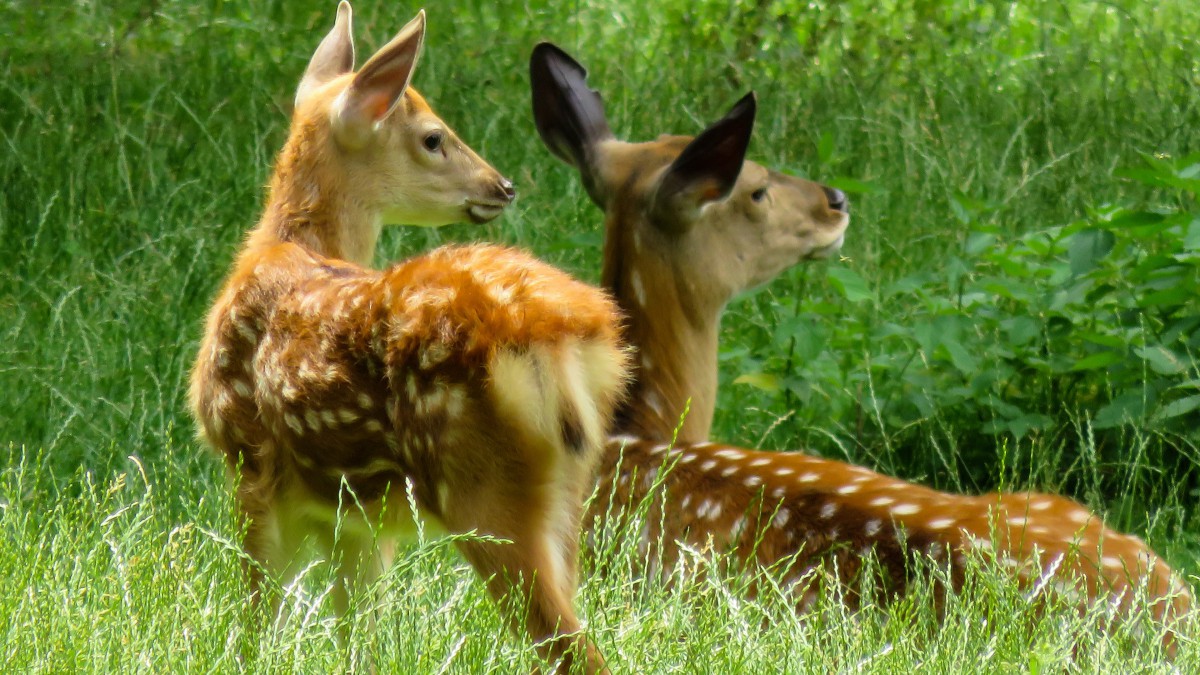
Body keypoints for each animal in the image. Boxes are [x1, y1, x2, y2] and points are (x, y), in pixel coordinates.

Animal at [187, 6, 628, 672]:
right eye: (433, 137)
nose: (503, 186)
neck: (285, 248)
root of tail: (567, 336)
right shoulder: (357, 520)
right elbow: (358, 637)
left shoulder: (250, 463)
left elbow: (259, 623)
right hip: (569, 493)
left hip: (481, 484)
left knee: (571, 648)